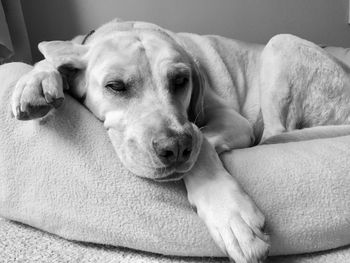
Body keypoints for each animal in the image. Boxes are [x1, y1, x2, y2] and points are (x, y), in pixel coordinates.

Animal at [9, 19, 350, 263]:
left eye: (180, 81)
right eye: (115, 86)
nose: (174, 149)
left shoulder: (233, 121)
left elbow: (201, 139)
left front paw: (228, 212)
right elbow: (51, 55)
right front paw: (35, 79)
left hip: (281, 44)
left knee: (274, 133)